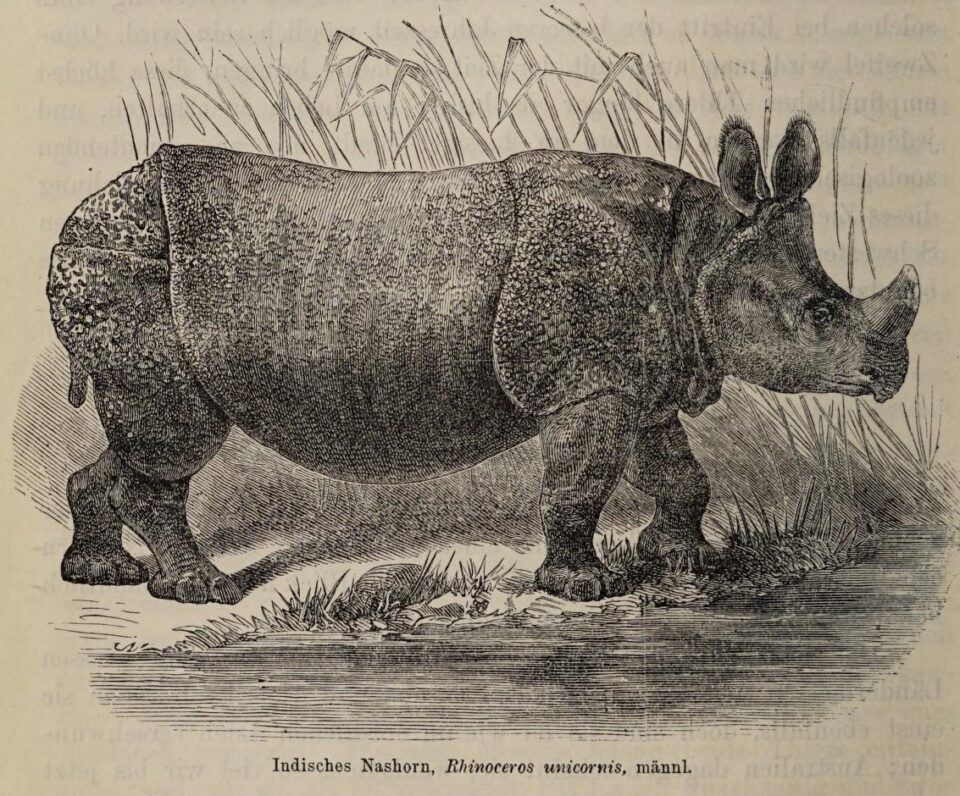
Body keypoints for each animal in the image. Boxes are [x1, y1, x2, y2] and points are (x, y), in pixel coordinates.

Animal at [47, 115, 919, 604]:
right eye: (820, 315)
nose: (890, 377)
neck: (701, 252)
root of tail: (81, 215)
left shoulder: (637, 377)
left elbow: (678, 471)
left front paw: (690, 562)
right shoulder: (584, 383)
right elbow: (579, 483)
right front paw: (582, 588)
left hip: (118, 266)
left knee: (142, 438)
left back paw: (100, 575)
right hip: (128, 267)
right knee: (174, 439)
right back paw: (204, 592)